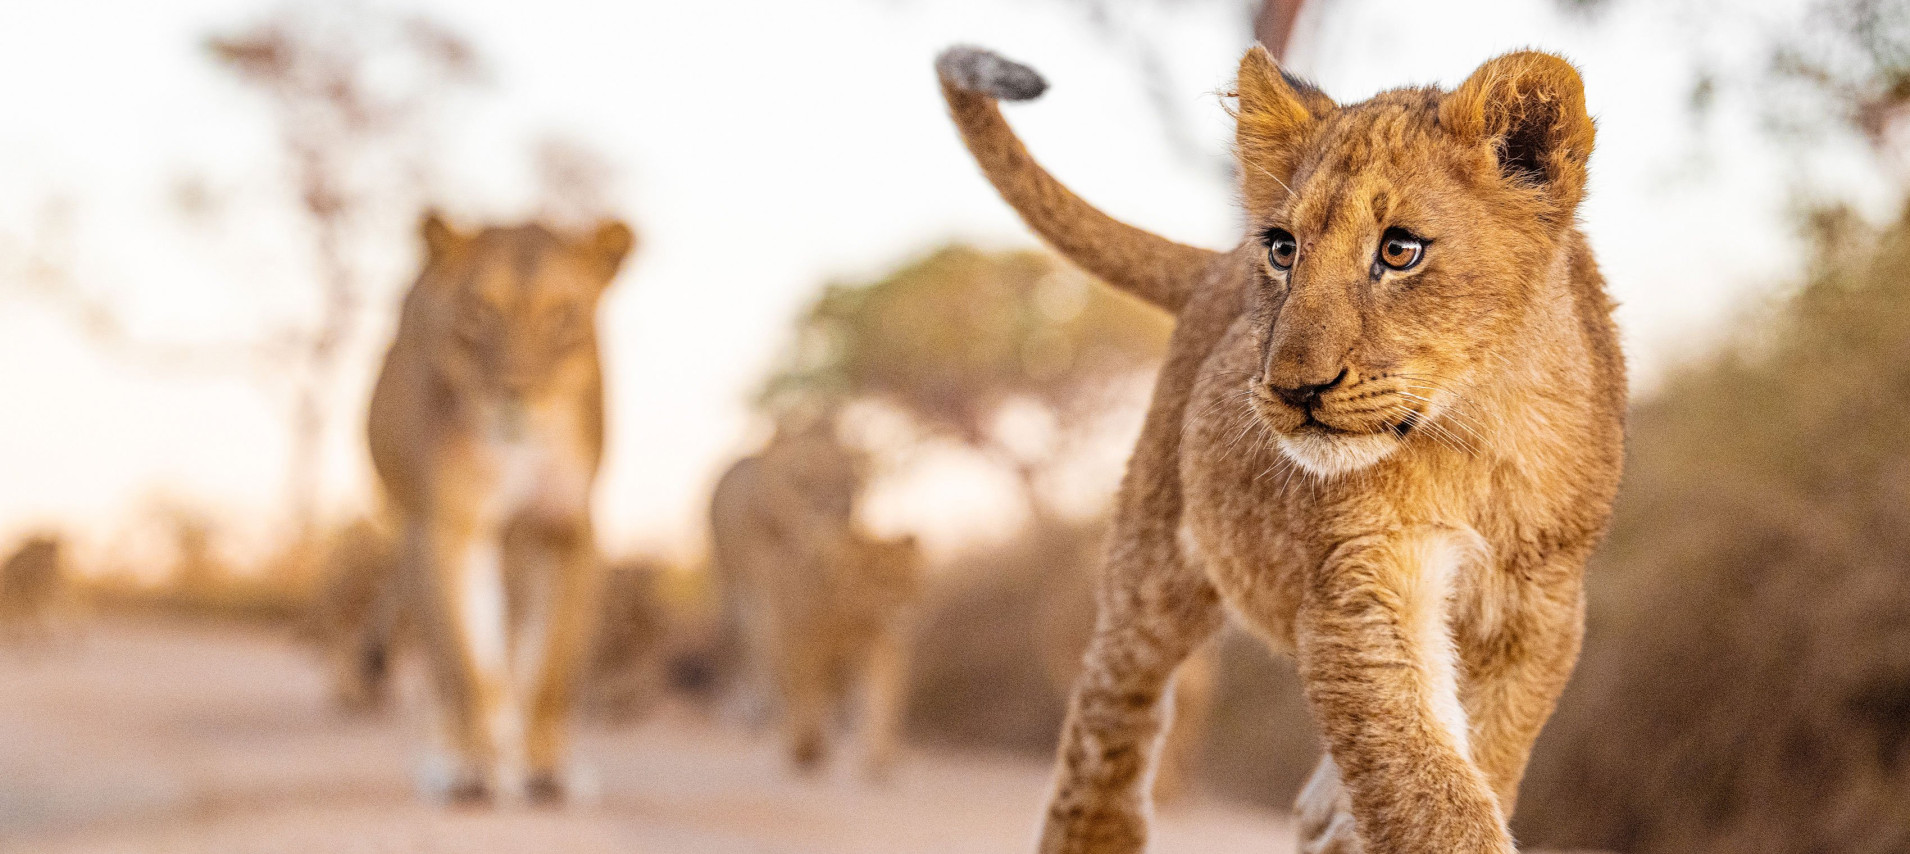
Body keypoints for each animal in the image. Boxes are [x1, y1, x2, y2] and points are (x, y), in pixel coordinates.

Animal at [367, 211, 635, 805]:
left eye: (562, 315)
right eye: (479, 312)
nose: (518, 394)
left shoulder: (567, 530)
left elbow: (552, 671)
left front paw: (548, 773)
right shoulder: (447, 525)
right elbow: (465, 668)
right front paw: (472, 772)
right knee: (457, 663)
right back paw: (456, 760)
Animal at [709, 426, 921, 779]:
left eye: (907, 582)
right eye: (801, 479)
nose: (901, 612)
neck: (851, 615)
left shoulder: (883, 643)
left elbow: (879, 700)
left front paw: (877, 758)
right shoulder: (798, 635)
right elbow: (804, 690)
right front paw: (808, 748)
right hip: (743, 593)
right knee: (766, 663)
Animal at [938, 44, 1624, 854]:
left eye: (1399, 250)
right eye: (1283, 250)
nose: (1296, 389)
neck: (1479, 432)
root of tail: (1213, 265)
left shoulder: (1540, 611)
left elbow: (1473, 761)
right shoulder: (1359, 590)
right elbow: (1430, 794)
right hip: (1147, 585)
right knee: (1101, 753)